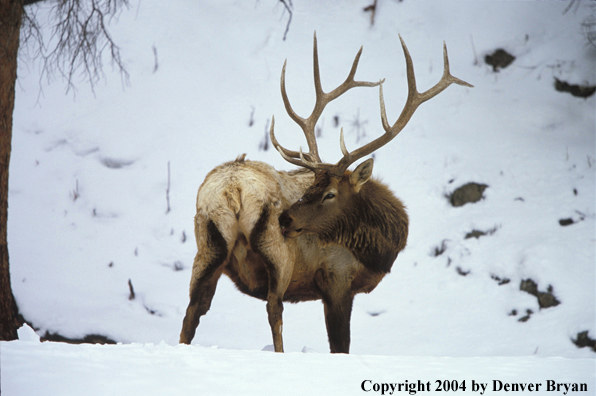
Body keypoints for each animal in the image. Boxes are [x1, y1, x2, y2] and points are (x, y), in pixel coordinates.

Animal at [178, 34, 470, 354]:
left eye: (328, 193)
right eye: (314, 188)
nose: (286, 219)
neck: (376, 251)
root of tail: (232, 188)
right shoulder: (337, 280)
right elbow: (340, 344)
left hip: (208, 244)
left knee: (192, 310)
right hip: (277, 252)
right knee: (273, 308)